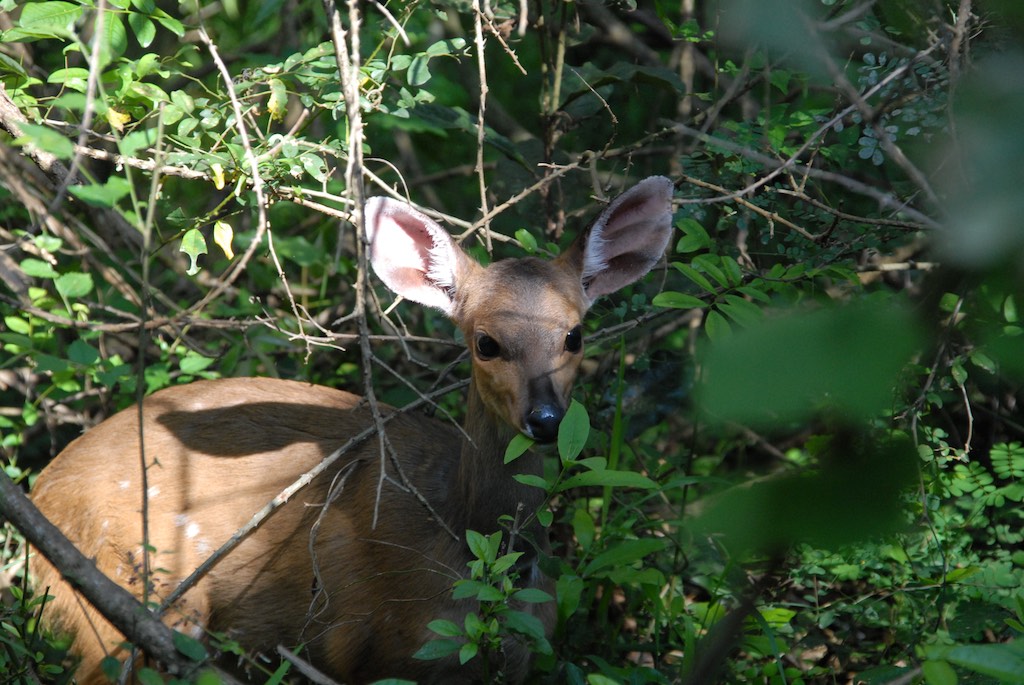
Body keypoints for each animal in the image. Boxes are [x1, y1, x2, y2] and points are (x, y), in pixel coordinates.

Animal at [29, 174, 671, 679]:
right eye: (486, 342)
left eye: (574, 335)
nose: (545, 419)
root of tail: (44, 487)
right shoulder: (357, 645)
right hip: (132, 591)